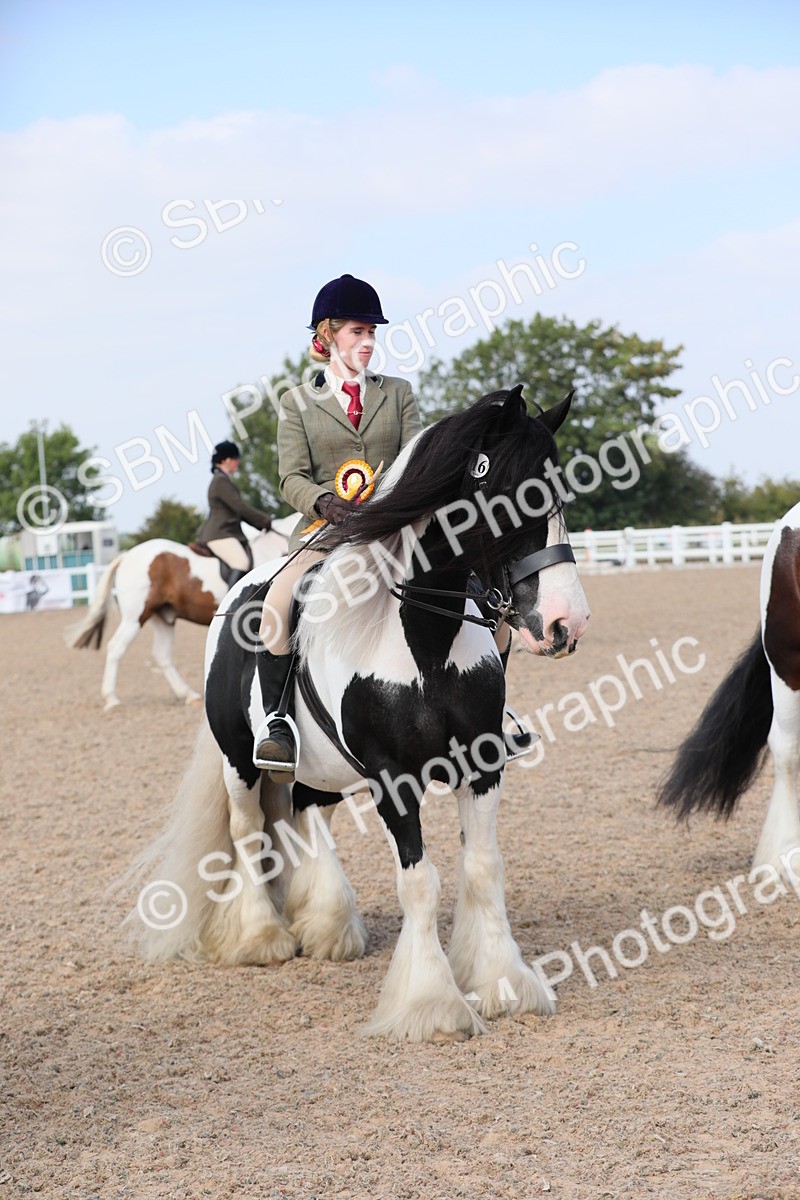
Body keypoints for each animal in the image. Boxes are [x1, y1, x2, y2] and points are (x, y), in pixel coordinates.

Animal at [68, 521, 293, 709]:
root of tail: (127, 555)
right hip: (135, 618)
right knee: (116, 648)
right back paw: (112, 698)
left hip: (163, 618)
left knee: (162, 654)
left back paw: (188, 694)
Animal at [133, 386, 591, 1042]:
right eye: (511, 490)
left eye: (559, 492)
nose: (564, 623)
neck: (423, 641)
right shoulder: (393, 779)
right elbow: (420, 882)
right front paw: (431, 1005)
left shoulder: (483, 766)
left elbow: (483, 867)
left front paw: (503, 983)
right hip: (240, 762)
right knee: (249, 830)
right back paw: (260, 938)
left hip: (321, 769)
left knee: (305, 816)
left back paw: (327, 925)